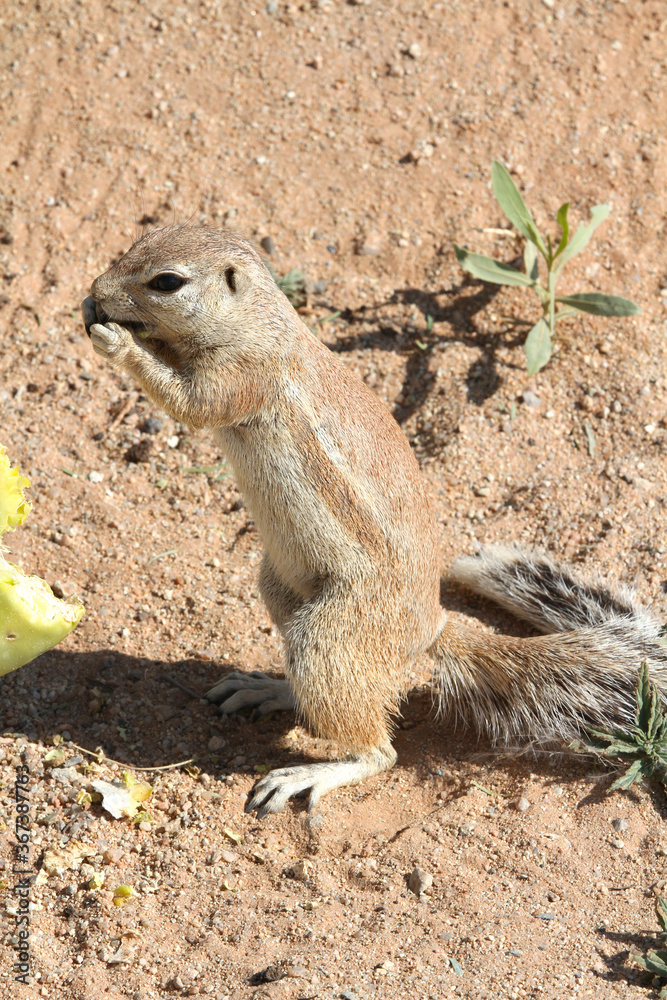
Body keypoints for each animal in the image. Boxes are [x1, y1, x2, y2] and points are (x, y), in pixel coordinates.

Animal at [82, 225, 667, 818]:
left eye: (167, 282)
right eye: (140, 240)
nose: (95, 290)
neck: (257, 321)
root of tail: (434, 628)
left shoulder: (245, 373)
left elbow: (191, 402)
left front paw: (115, 340)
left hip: (328, 637)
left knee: (379, 752)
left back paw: (307, 774)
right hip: (281, 588)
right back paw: (269, 689)